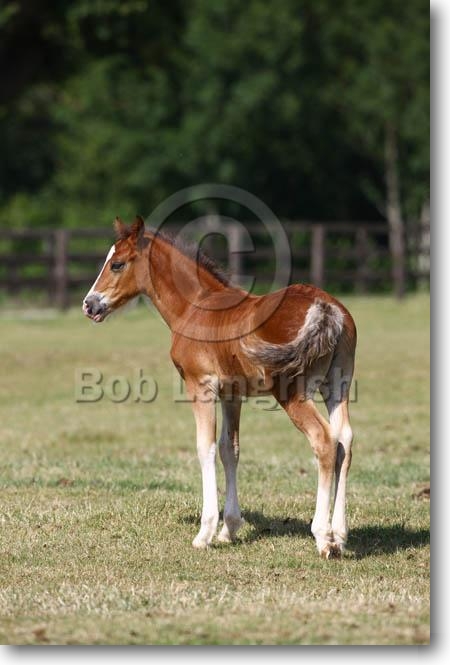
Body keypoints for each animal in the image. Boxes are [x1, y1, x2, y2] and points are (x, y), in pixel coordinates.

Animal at [83, 216, 356, 559]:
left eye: (117, 264)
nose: (89, 305)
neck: (195, 307)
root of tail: (324, 307)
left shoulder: (200, 386)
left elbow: (206, 447)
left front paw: (206, 532)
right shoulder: (231, 393)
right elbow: (230, 449)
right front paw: (230, 528)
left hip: (292, 391)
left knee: (324, 439)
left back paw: (324, 537)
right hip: (338, 383)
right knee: (344, 440)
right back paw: (341, 535)